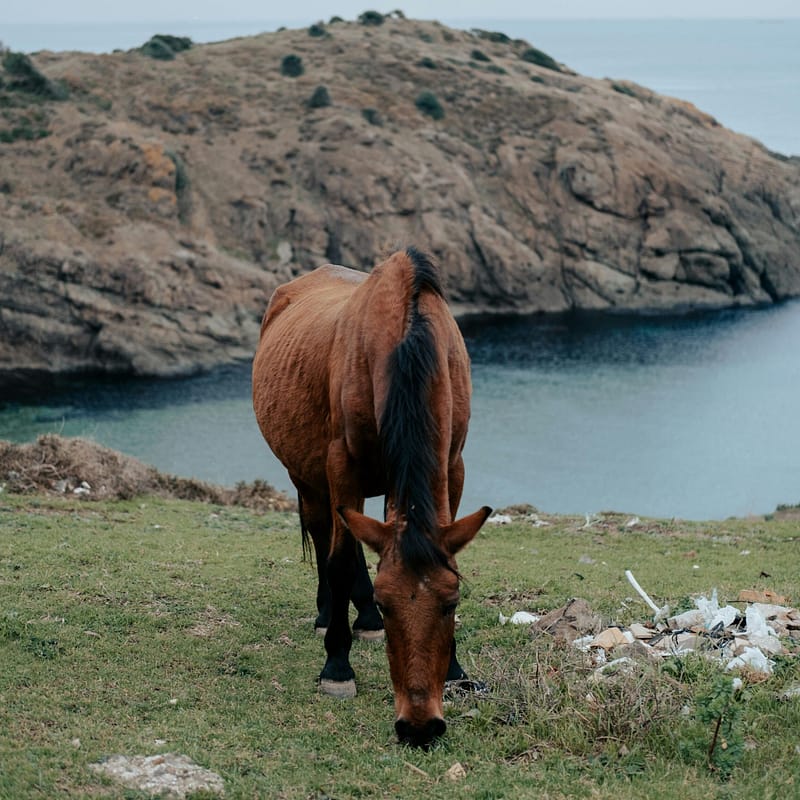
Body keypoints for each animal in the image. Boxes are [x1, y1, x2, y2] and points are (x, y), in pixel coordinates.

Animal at [252, 247, 491, 747]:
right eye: (387, 602)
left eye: (452, 603)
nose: (420, 727)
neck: (406, 340)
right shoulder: (343, 467)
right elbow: (341, 561)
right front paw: (337, 667)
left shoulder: (452, 466)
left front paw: (456, 671)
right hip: (308, 478)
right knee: (326, 536)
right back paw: (331, 615)